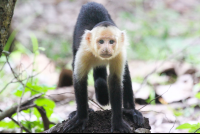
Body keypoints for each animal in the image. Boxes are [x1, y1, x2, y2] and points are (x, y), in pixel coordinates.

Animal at [62, 2, 144, 133]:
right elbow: (80, 80)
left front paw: (118, 122)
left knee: (125, 72)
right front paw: (81, 118)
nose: (106, 49)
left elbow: (115, 81)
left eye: (111, 42)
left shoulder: (119, 53)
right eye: (101, 41)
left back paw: (130, 110)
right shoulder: (84, 51)